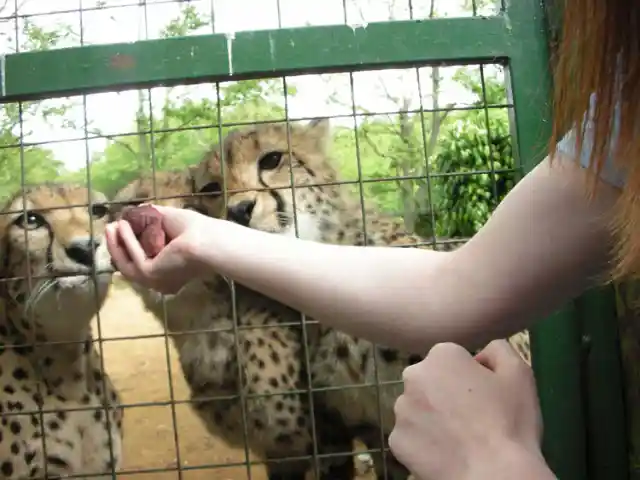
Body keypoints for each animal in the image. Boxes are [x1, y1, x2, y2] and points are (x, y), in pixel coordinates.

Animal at [112, 171, 358, 478]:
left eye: (192, 207)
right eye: (134, 200)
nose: (145, 217)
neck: (203, 328)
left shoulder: (325, 446)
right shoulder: (281, 456)